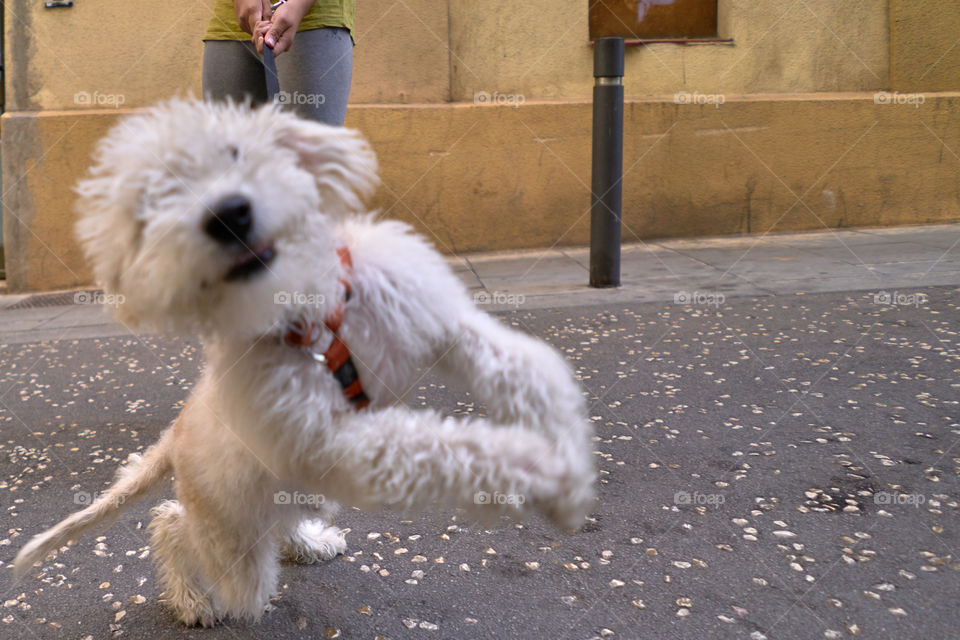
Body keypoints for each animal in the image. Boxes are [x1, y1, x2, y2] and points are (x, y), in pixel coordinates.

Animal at [13, 99, 592, 624]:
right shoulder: (339, 441)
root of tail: (172, 439)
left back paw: (309, 542)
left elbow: (530, 371)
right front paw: (538, 471)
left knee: (268, 522)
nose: (229, 213)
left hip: (279, 494)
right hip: (234, 539)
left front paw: (568, 453)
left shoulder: (442, 323)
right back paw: (192, 600)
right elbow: (440, 448)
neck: (315, 319)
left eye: (235, 150)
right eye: (153, 201)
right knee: (174, 527)